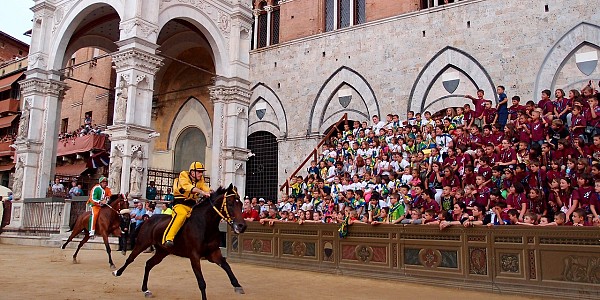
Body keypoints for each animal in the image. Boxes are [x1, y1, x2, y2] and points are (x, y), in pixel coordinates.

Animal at [113, 184, 247, 298]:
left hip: (162, 251)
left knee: (149, 264)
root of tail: (149, 219)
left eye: (241, 204)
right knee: (131, 259)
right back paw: (117, 272)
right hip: (142, 243)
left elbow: (227, 266)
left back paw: (145, 289)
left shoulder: (214, 253)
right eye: (230, 203)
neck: (205, 224)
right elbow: (202, 282)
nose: (242, 226)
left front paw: (238, 286)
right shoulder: (194, 256)